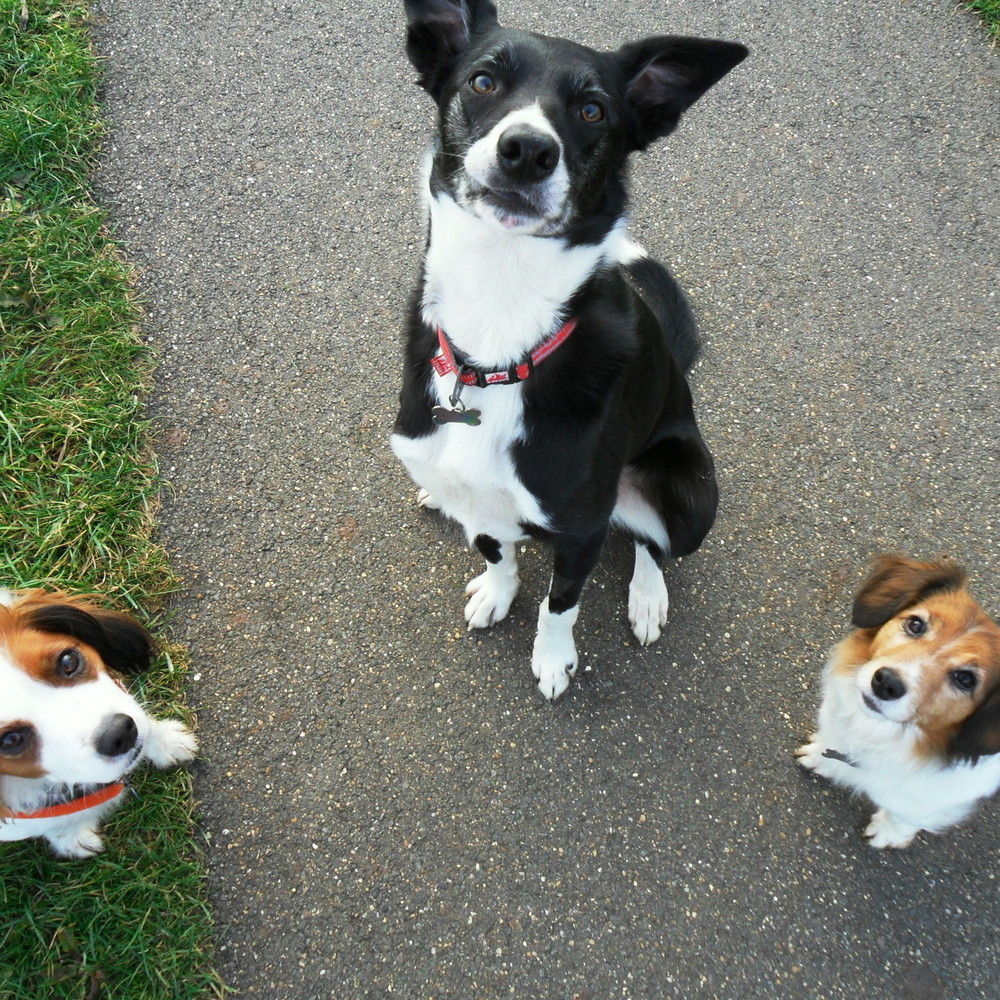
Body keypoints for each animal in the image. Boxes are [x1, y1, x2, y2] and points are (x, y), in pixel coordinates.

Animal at [0, 589, 197, 858]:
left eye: (68, 661)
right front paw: (72, 838)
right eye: (10, 740)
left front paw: (165, 742)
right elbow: (51, 824)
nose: (119, 734)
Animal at [390, 0, 748, 698]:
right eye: (482, 80)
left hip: (690, 493)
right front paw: (498, 593)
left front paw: (554, 659)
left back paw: (647, 596)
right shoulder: (486, 504)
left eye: (592, 111)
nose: (528, 150)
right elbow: (496, 552)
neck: (501, 337)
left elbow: (561, 604)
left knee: (651, 542)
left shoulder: (580, 531)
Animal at [796, 555, 1000, 848]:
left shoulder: (930, 803)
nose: (886, 683)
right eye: (915, 624)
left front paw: (887, 832)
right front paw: (822, 757)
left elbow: (905, 816)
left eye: (965, 679)